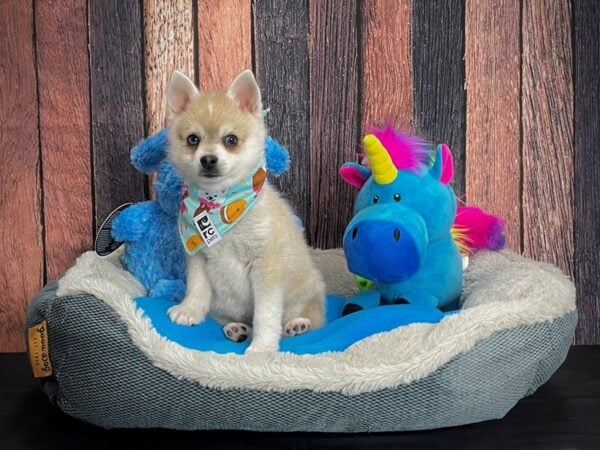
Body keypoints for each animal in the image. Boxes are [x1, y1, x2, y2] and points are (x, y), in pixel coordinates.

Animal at [164, 69, 326, 356]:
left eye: (231, 140)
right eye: (193, 140)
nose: (208, 159)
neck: (218, 203)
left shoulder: (265, 266)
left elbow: (266, 314)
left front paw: (262, 347)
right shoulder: (198, 256)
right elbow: (197, 287)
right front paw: (190, 309)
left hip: (306, 294)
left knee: (309, 317)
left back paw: (296, 325)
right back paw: (238, 329)